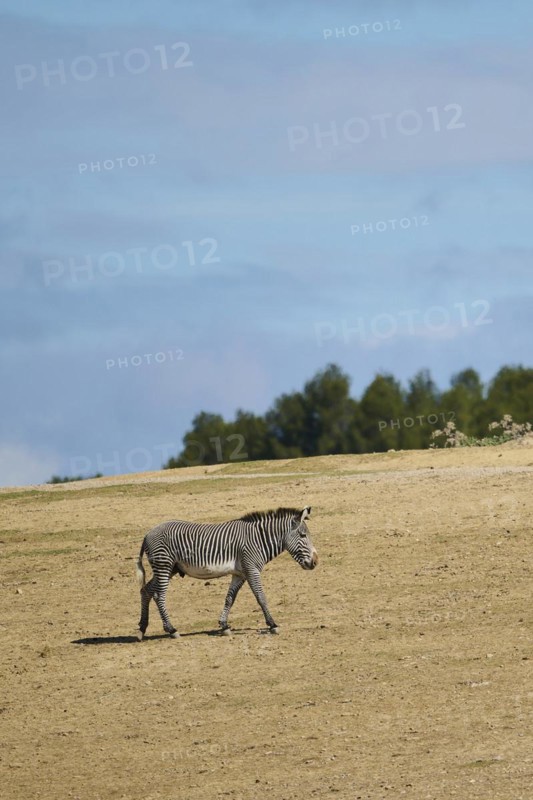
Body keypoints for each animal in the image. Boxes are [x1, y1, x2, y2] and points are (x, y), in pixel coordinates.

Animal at [135, 506, 318, 639]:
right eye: (303, 535)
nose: (315, 562)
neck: (258, 540)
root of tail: (147, 534)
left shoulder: (240, 573)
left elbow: (230, 598)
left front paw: (224, 626)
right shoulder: (251, 569)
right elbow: (261, 597)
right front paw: (272, 624)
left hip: (169, 568)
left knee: (146, 591)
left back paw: (142, 629)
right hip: (164, 565)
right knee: (159, 595)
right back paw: (171, 629)